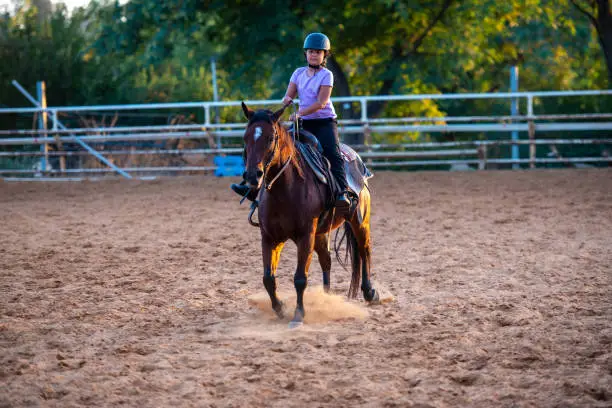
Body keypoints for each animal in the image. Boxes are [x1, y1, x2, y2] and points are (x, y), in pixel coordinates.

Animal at [240, 103, 378, 328]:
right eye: (245, 137)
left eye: (270, 138)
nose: (253, 176)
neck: (285, 188)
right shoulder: (270, 237)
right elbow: (268, 278)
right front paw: (280, 308)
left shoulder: (306, 236)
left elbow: (300, 278)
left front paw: (298, 315)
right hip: (321, 233)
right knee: (326, 260)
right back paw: (326, 298)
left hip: (359, 221)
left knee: (365, 249)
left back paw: (370, 293)